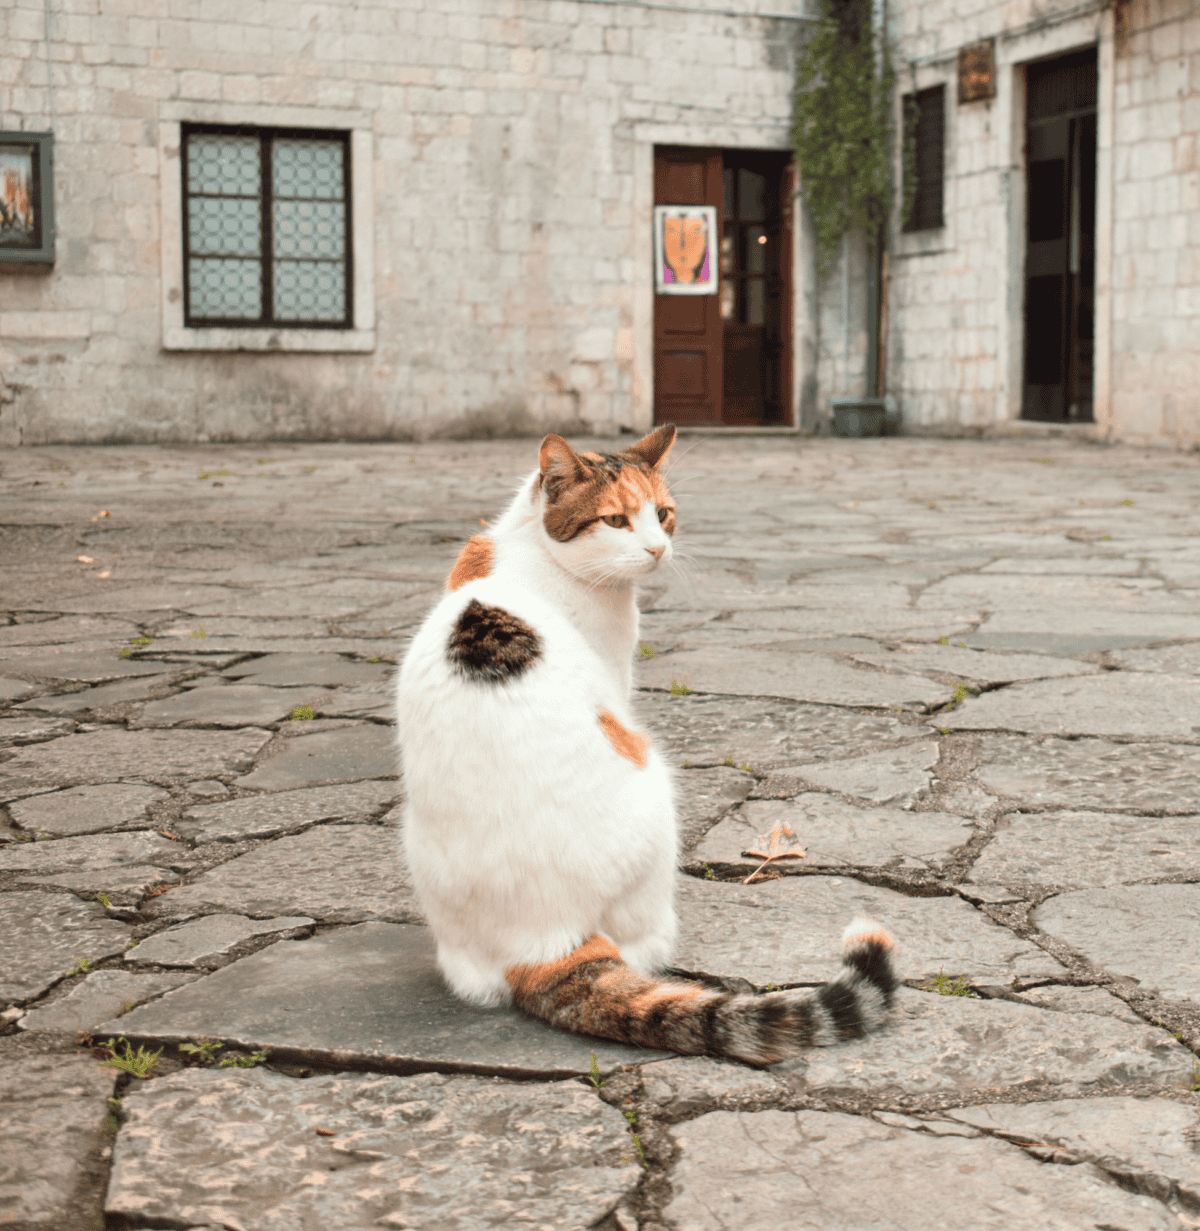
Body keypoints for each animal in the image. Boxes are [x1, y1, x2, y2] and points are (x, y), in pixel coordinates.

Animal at [393, 428, 891, 1063]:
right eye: (615, 519)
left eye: (663, 514)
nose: (657, 550)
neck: (529, 546)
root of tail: (545, 943)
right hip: (655, 788)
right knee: (643, 949)